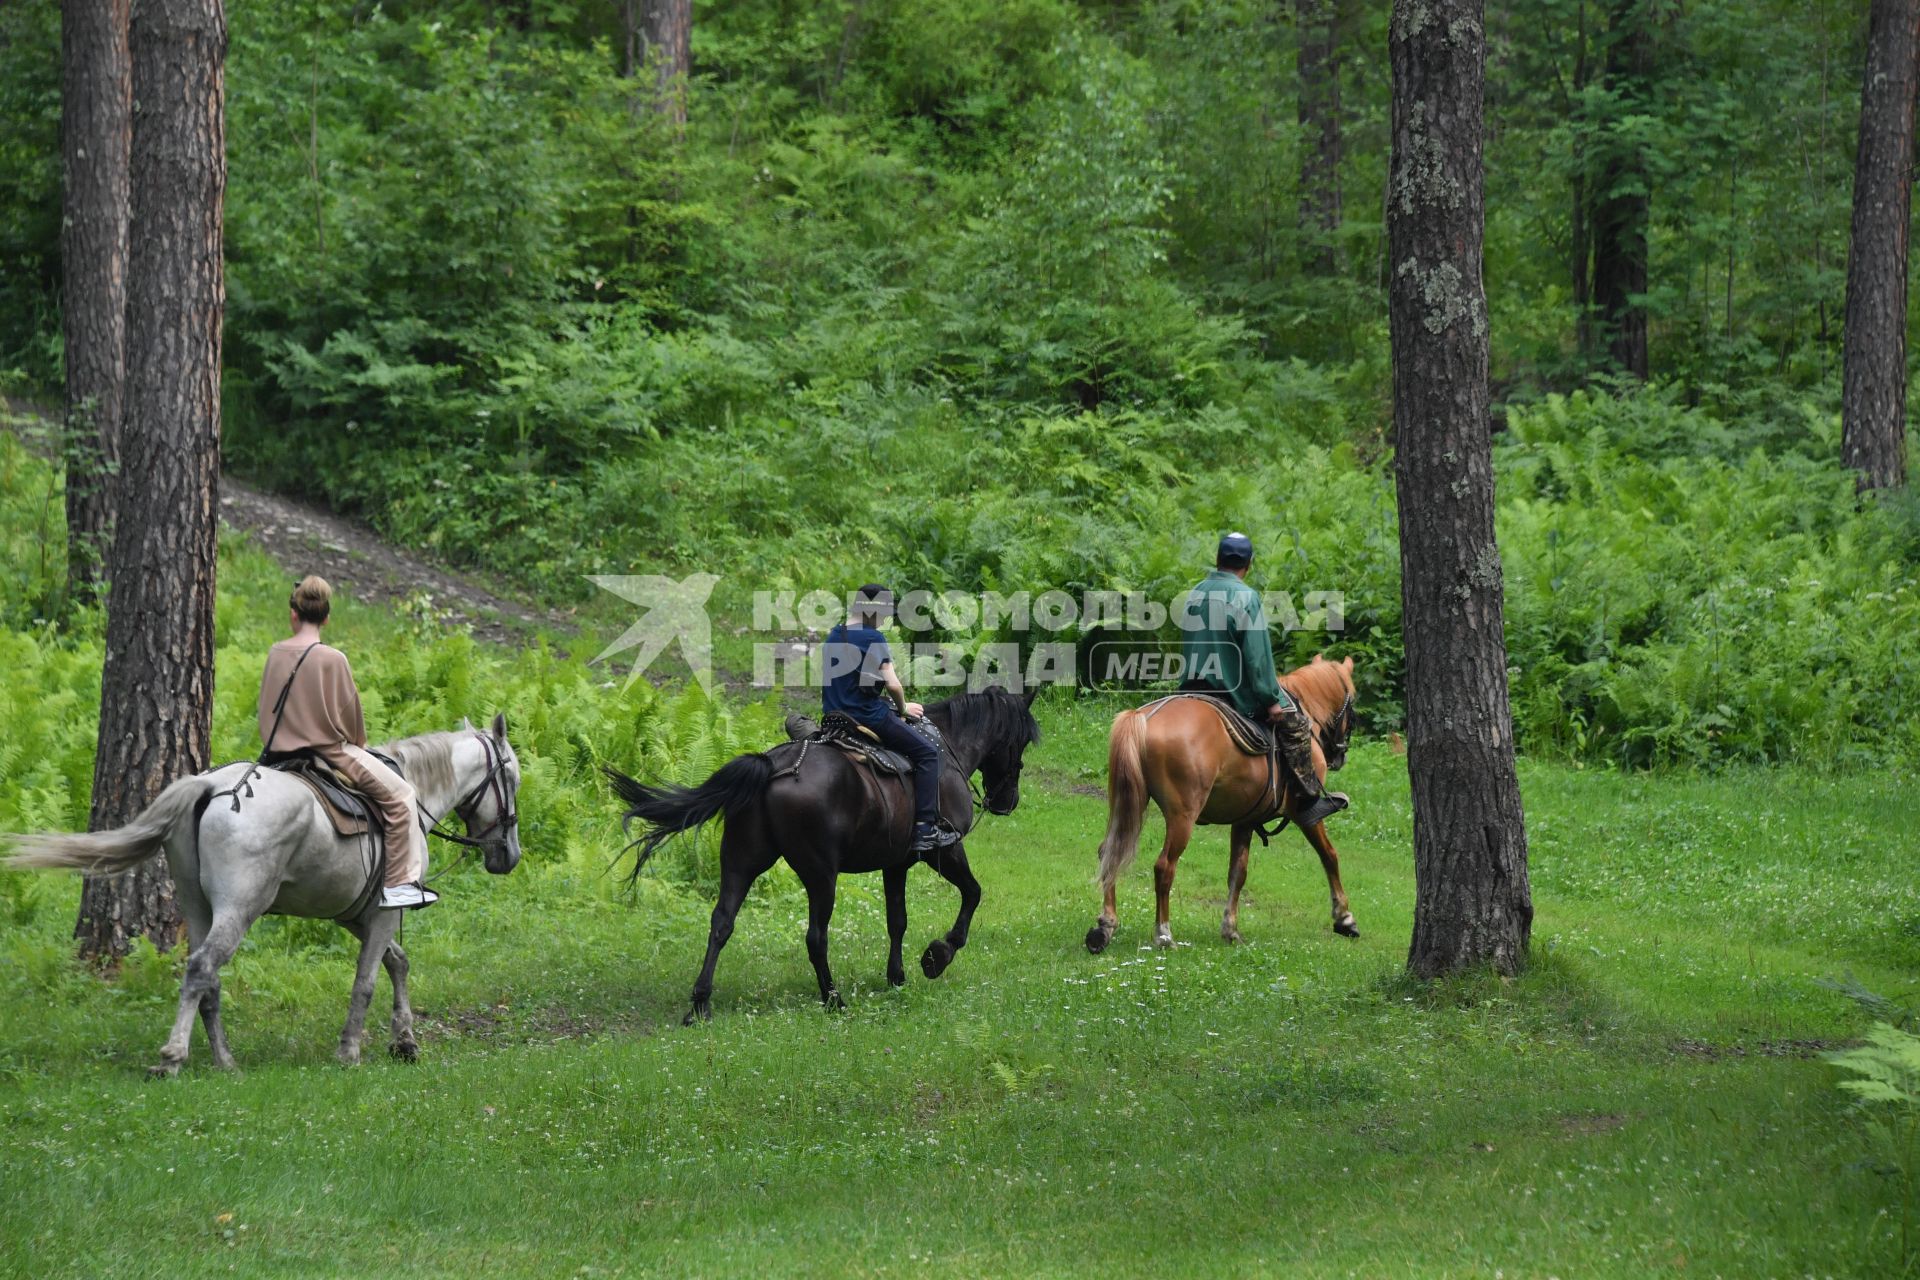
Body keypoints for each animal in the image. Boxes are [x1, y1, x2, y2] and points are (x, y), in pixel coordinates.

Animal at [3, 717, 522, 1074]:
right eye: (513, 778)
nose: (510, 856)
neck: (412, 793)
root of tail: (210, 784)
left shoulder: (354, 912)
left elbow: (397, 962)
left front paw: (405, 1040)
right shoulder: (383, 911)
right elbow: (367, 979)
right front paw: (350, 1050)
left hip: (199, 908)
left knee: (206, 977)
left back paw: (224, 1060)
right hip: (239, 909)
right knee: (202, 969)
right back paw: (173, 1056)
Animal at [610, 687, 1036, 1028]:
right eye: (1021, 742)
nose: (1008, 801)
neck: (945, 748)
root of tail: (775, 765)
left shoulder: (895, 863)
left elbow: (897, 921)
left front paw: (896, 977)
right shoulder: (943, 850)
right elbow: (972, 894)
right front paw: (937, 955)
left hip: (740, 861)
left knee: (721, 924)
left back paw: (700, 1004)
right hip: (820, 874)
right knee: (816, 937)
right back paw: (833, 998)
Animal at [1082, 656, 1367, 955]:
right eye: (1352, 706)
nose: (1340, 755)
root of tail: (1143, 717)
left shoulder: (1244, 820)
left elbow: (1237, 873)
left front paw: (1230, 929)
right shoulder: (1305, 816)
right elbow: (1330, 856)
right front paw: (1344, 919)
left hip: (1126, 804)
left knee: (1109, 852)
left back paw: (1105, 927)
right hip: (1182, 817)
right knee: (1164, 867)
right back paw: (1163, 934)